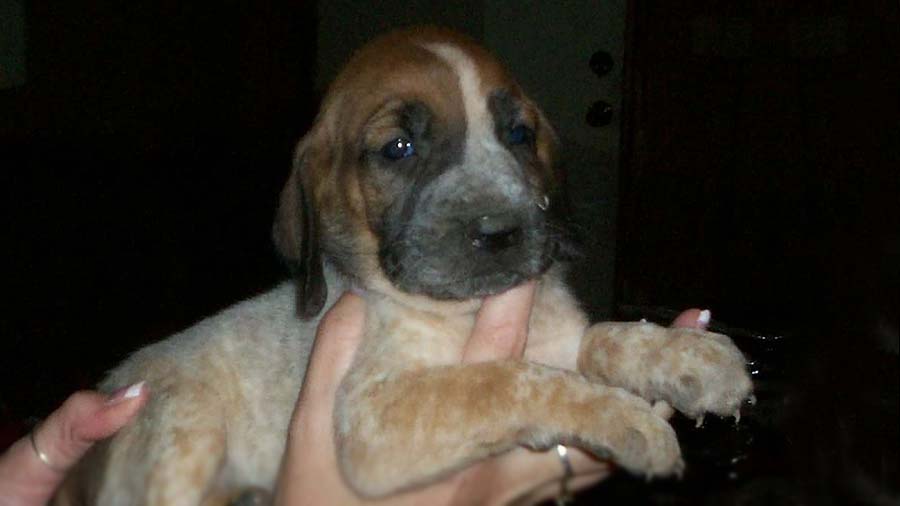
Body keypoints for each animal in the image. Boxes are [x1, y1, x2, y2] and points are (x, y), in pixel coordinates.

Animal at [49, 28, 752, 506]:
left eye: (518, 136)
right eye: (399, 148)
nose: (502, 233)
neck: (462, 312)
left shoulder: (559, 340)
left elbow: (605, 339)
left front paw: (689, 357)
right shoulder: (374, 421)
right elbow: (509, 380)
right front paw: (626, 418)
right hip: (183, 432)